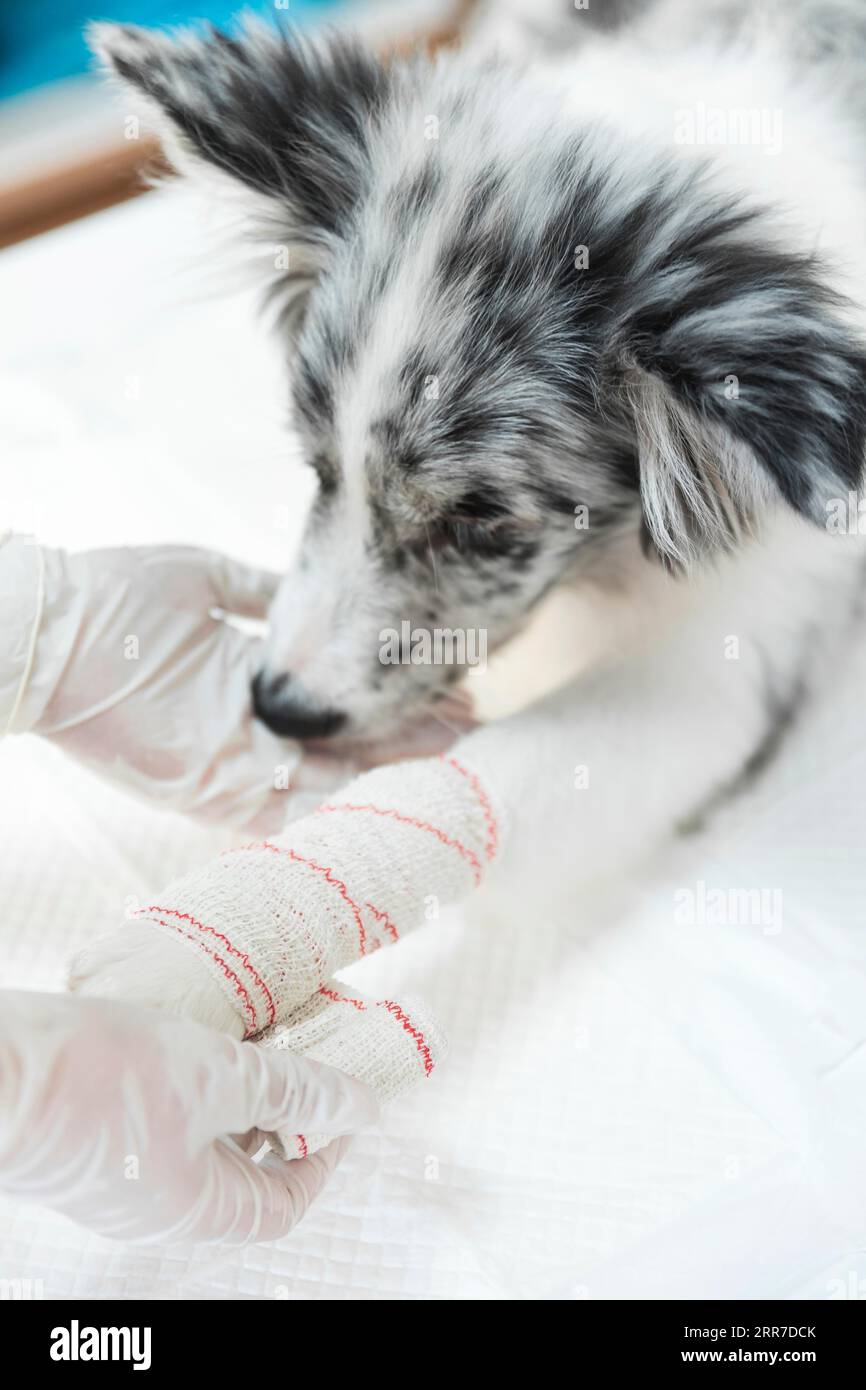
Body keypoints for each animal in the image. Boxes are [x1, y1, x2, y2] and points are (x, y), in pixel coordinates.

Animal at [72, 0, 866, 1028]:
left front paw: (173, 968)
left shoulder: (736, 647)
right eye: (318, 468)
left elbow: (484, 780)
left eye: (480, 524)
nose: (278, 706)